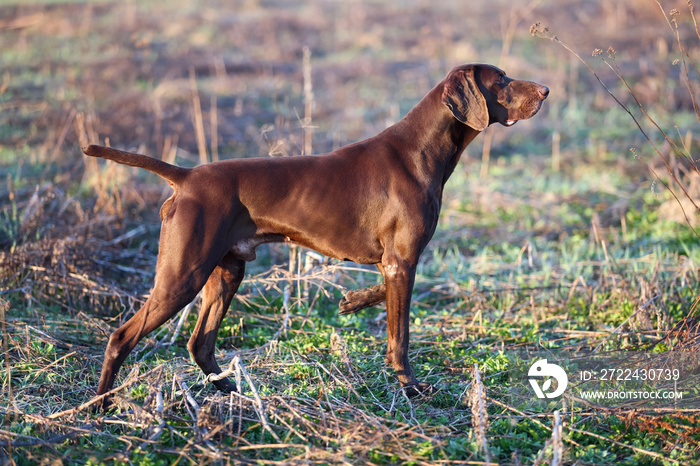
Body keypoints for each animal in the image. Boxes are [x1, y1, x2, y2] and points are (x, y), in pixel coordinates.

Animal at [83, 62, 548, 408]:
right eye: (501, 80)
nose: (545, 90)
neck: (421, 150)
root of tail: (186, 176)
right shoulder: (402, 261)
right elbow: (399, 337)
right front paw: (412, 387)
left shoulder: (396, 264)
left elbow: (379, 294)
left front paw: (352, 301)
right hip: (183, 275)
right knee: (122, 337)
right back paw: (101, 405)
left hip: (227, 272)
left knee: (200, 342)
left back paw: (231, 391)